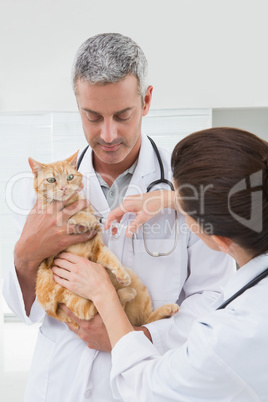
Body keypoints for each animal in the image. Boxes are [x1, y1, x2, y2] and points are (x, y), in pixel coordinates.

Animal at [28, 152, 180, 328]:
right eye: (51, 180)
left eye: (69, 177)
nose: (64, 188)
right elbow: (75, 215)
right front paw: (89, 218)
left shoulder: (97, 248)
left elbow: (111, 258)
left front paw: (121, 274)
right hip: (70, 297)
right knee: (97, 309)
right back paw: (127, 293)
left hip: (137, 284)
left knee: (138, 321)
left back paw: (164, 308)